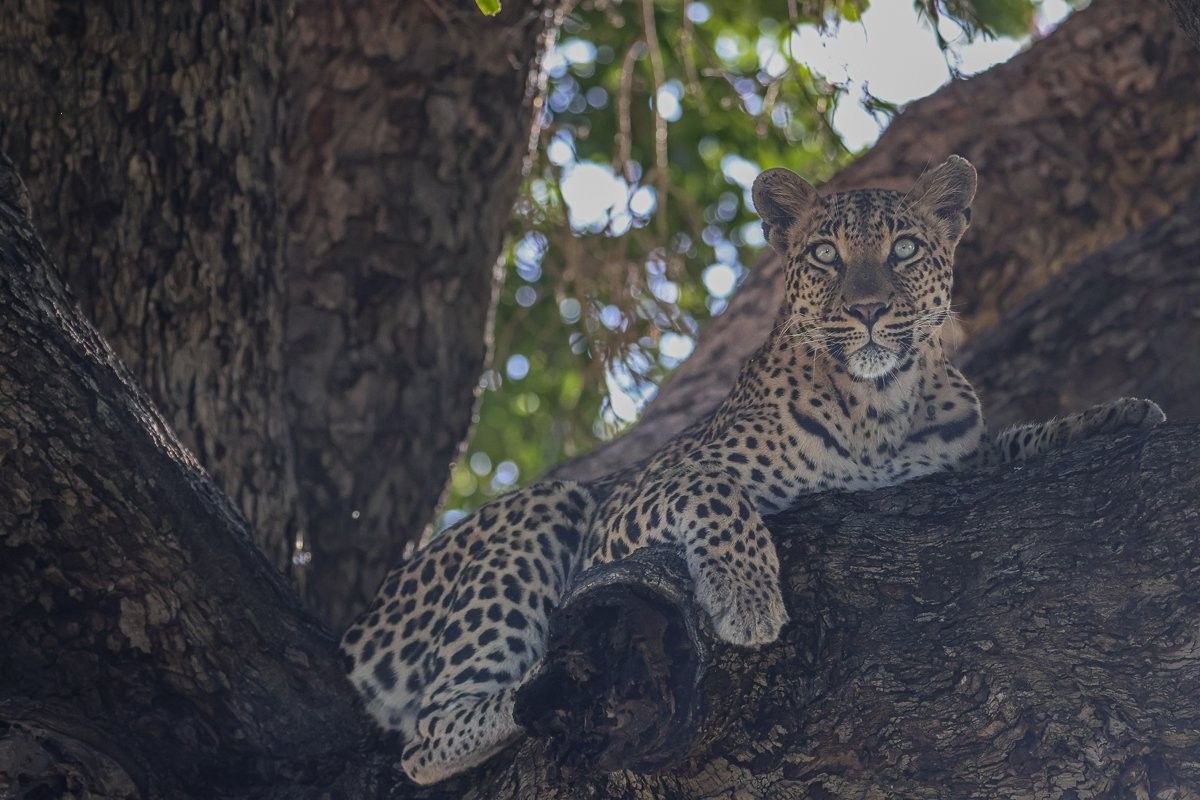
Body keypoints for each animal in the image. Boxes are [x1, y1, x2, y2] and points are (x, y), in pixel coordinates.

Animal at [339, 156, 1165, 785]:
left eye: (903, 249)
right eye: (826, 255)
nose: (868, 310)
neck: (880, 404)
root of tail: (357, 624)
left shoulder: (954, 461)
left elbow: (1013, 441)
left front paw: (1120, 414)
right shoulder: (629, 505)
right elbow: (713, 486)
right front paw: (746, 597)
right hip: (551, 507)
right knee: (428, 739)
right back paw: (535, 688)